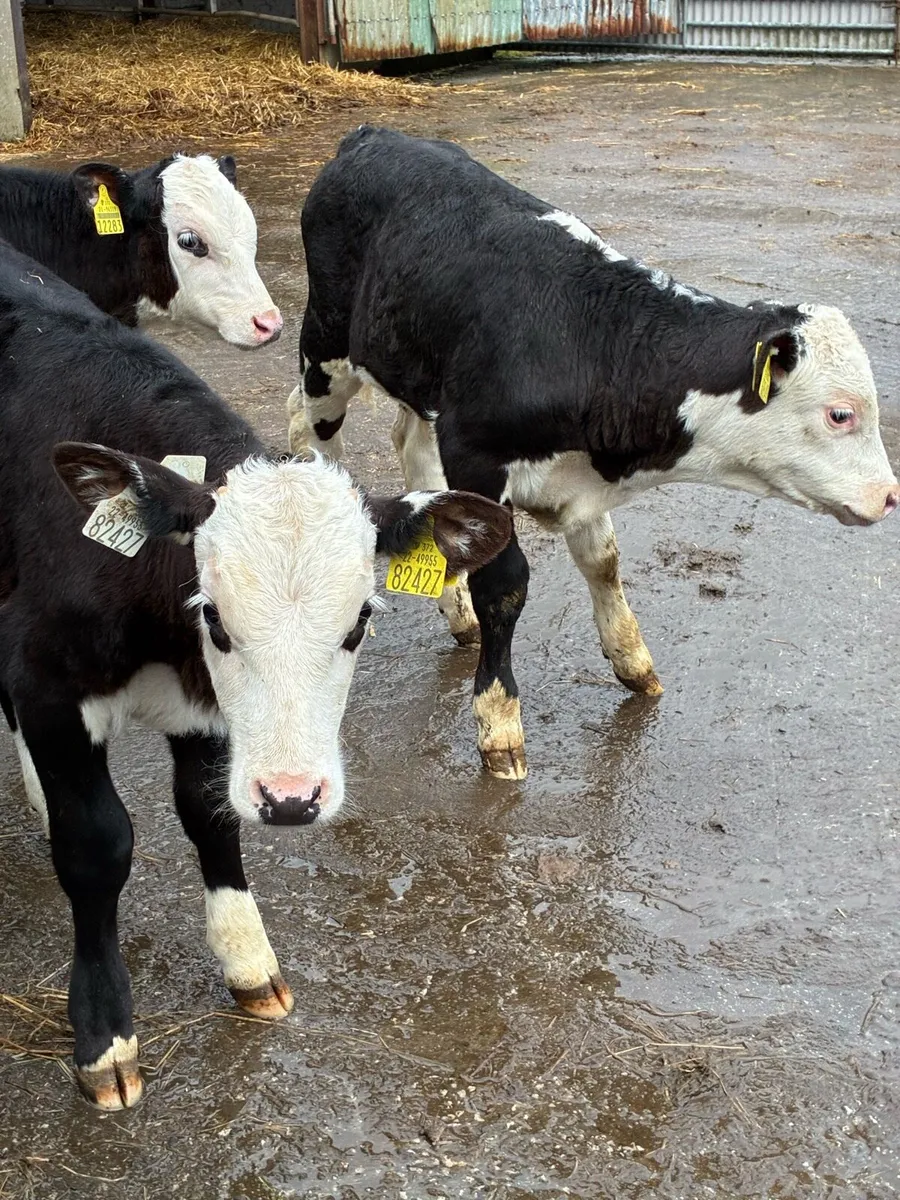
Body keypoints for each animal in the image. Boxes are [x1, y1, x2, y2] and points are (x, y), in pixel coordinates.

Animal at [0, 241, 513, 1110]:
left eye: (360, 621)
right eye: (215, 618)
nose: (293, 799)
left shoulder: (205, 715)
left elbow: (209, 815)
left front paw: (249, 963)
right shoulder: (47, 685)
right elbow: (98, 846)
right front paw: (105, 1034)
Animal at [287, 125, 899, 781]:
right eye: (841, 413)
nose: (890, 496)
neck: (595, 341)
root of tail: (373, 134)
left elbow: (603, 560)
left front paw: (634, 663)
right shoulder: (477, 453)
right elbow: (505, 584)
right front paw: (499, 724)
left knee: (411, 450)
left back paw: (456, 612)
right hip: (326, 346)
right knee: (308, 422)